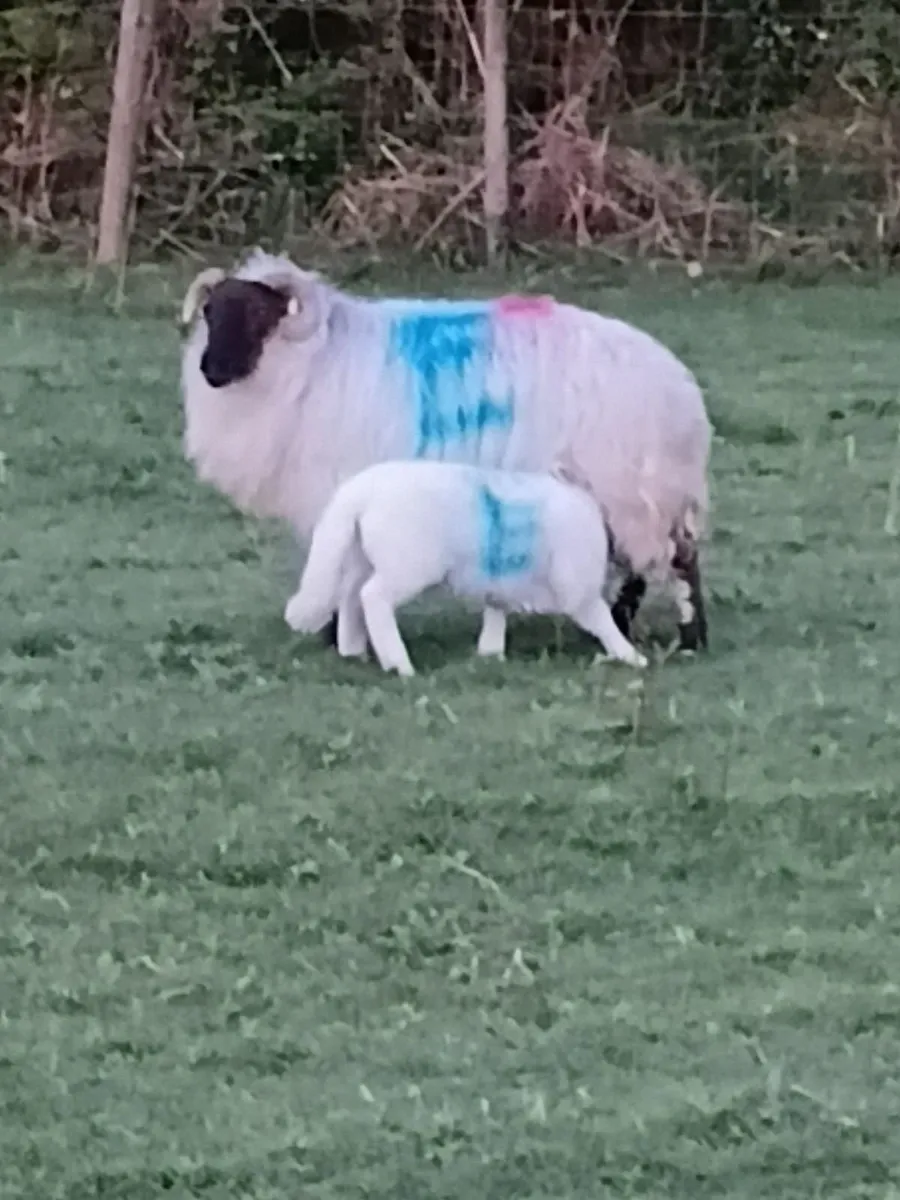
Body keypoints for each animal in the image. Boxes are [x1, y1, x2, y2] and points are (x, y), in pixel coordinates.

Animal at [180, 250, 711, 654]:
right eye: (210, 312)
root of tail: (680, 387)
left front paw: (336, 635)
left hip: (633, 488)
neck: (317, 359)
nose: (212, 370)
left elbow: (342, 569)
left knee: (674, 561)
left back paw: (686, 638)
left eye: (257, 314)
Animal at [282, 458, 648, 677]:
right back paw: (399, 664)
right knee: (373, 598)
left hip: (361, 558)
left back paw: (353, 652)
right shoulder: (579, 590)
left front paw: (491, 654)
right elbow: (603, 622)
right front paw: (633, 658)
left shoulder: (501, 583)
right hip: (406, 566)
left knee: (350, 597)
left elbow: (496, 611)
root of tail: (357, 492)